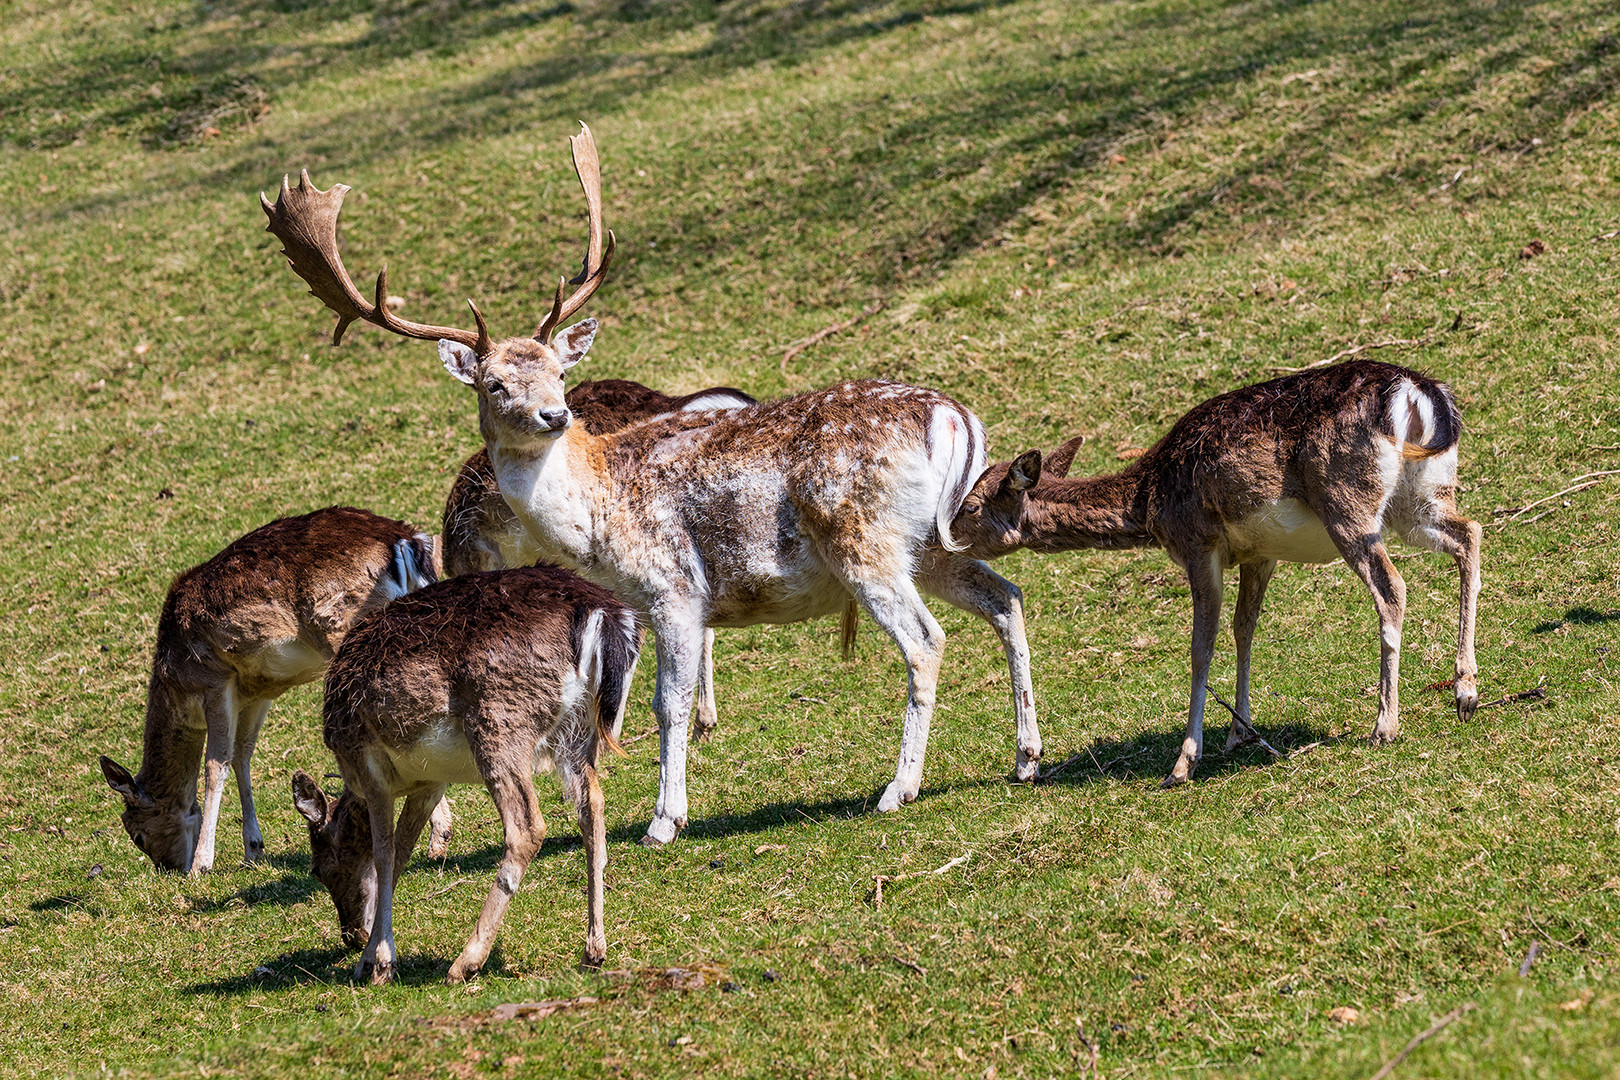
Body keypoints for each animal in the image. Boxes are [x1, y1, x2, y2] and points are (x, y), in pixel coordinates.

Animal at [99, 508, 456, 880]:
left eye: (137, 835)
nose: (169, 869)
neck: (176, 683)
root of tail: (408, 540)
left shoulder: (215, 679)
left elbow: (215, 764)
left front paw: (201, 864)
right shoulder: (258, 690)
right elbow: (242, 754)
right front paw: (253, 848)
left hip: (344, 627)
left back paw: (437, 835)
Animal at [291, 563, 644, 984]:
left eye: (320, 869)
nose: (349, 934)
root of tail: (604, 614)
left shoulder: (370, 765)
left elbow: (384, 855)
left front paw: (379, 964)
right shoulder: (430, 781)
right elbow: (402, 853)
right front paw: (368, 958)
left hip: (499, 721)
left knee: (527, 827)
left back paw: (466, 961)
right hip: (579, 734)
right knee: (593, 810)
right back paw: (594, 950)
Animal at [946, 361, 1483, 786]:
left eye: (970, 505)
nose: (943, 533)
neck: (1149, 500)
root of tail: (1417, 393)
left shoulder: (1198, 543)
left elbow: (1200, 646)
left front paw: (1183, 763)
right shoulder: (1259, 553)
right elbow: (1245, 629)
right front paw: (1238, 732)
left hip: (1348, 502)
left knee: (1392, 585)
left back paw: (1385, 725)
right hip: (1421, 496)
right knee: (1470, 533)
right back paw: (1465, 691)